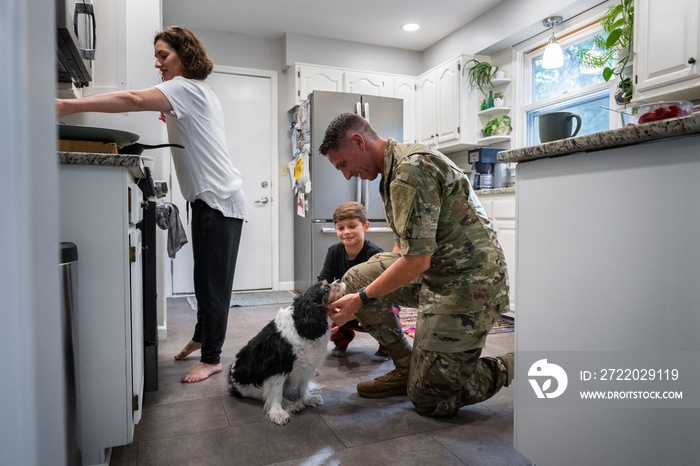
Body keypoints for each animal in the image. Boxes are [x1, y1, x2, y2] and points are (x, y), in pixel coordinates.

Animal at [228, 280, 346, 426]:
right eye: (326, 288)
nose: (339, 280)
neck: (301, 325)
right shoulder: (278, 367)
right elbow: (276, 393)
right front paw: (278, 413)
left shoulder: (307, 366)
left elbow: (303, 385)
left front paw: (308, 398)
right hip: (249, 387)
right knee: (265, 395)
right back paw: (291, 405)